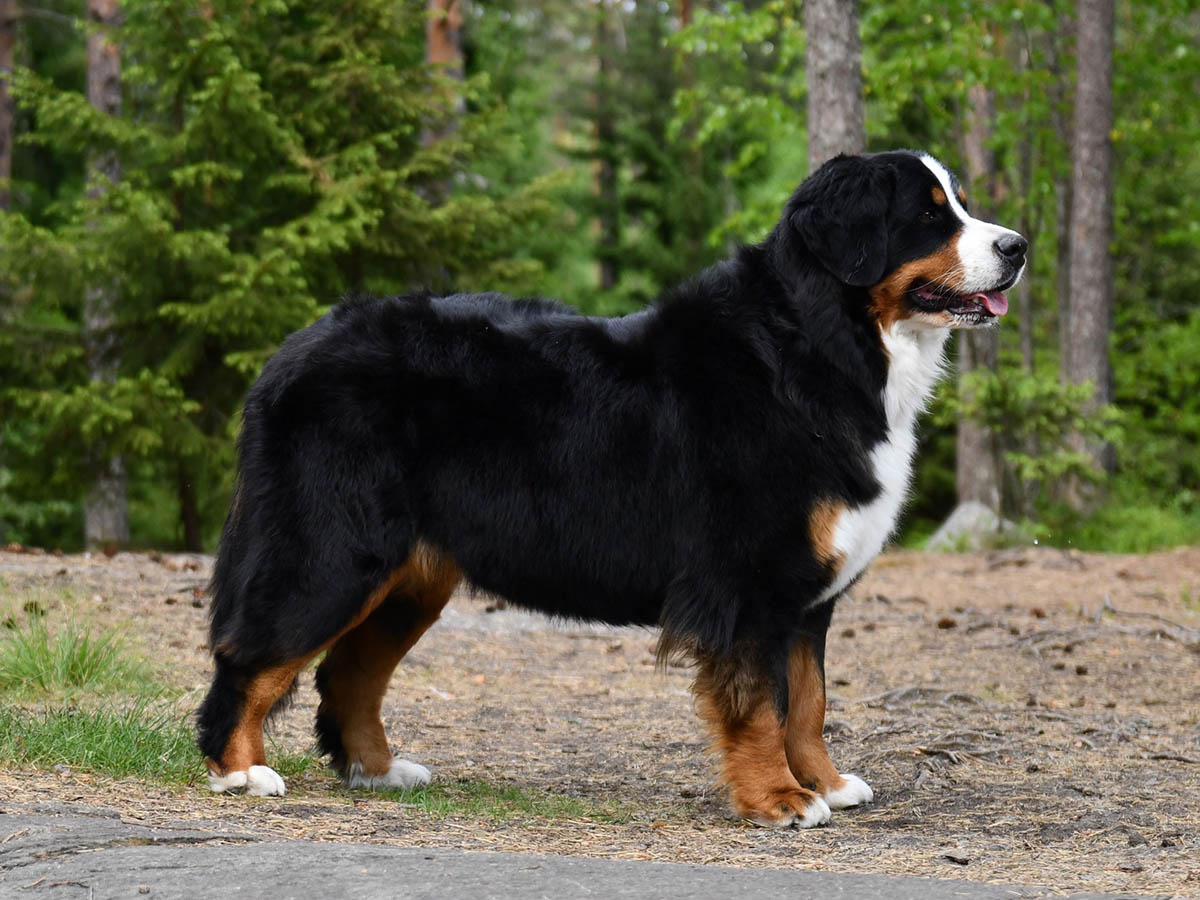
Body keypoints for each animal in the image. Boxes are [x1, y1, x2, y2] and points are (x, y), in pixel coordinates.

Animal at [197, 150, 1026, 828]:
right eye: (928, 214)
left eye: (959, 201)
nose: (1017, 247)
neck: (815, 346)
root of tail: (294, 349)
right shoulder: (750, 583)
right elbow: (761, 704)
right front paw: (778, 799)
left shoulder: (804, 597)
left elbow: (810, 703)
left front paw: (825, 783)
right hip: (332, 553)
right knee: (249, 655)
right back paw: (239, 772)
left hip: (409, 578)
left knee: (349, 672)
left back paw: (379, 771)